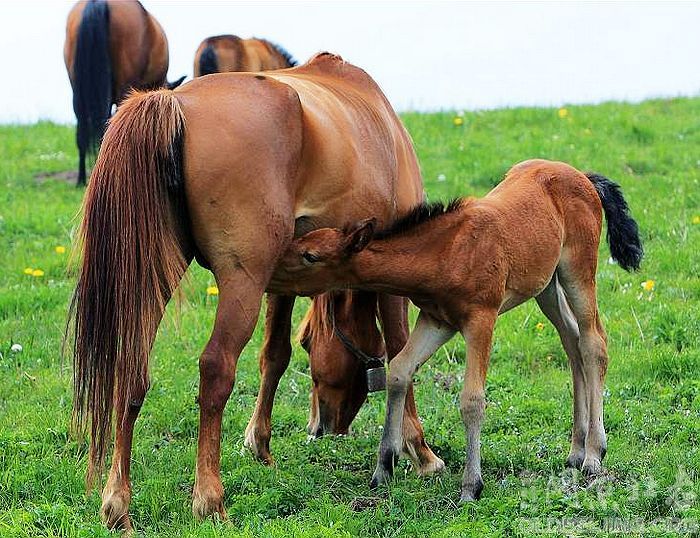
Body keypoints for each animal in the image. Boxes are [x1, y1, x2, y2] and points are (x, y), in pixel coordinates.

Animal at [71, 52, 442, 528]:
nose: (323, 428)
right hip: (240, 283)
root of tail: (173, 103)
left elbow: (274, 355)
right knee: (216, 369)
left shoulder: (284, 274)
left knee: (131, 372)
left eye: (309, 342)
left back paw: (117, 502)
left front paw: (259, 445)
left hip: (157, 276)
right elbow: (401, 352)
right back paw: (209, 499)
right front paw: (421, 451)